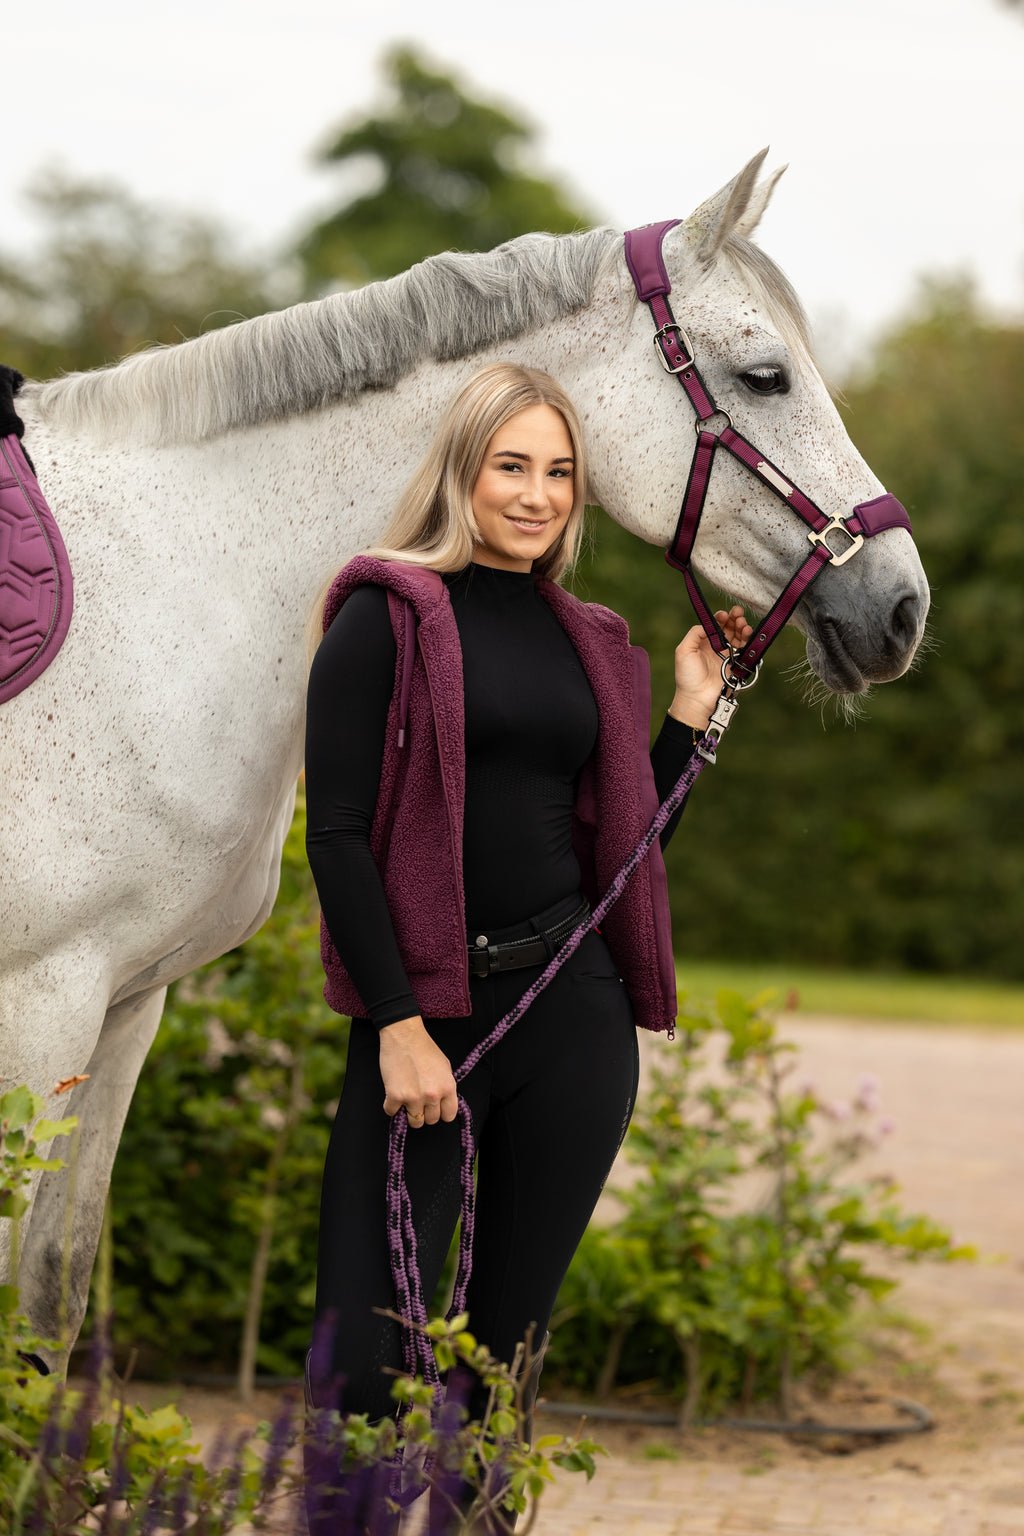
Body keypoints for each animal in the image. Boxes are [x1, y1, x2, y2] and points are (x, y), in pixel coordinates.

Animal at [0, 151, 929, 1364]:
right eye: (765, 375)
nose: (903, 609)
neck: (172, 592)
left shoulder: (122, 1007)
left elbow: (50, 1300)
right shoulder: (41, 1000)